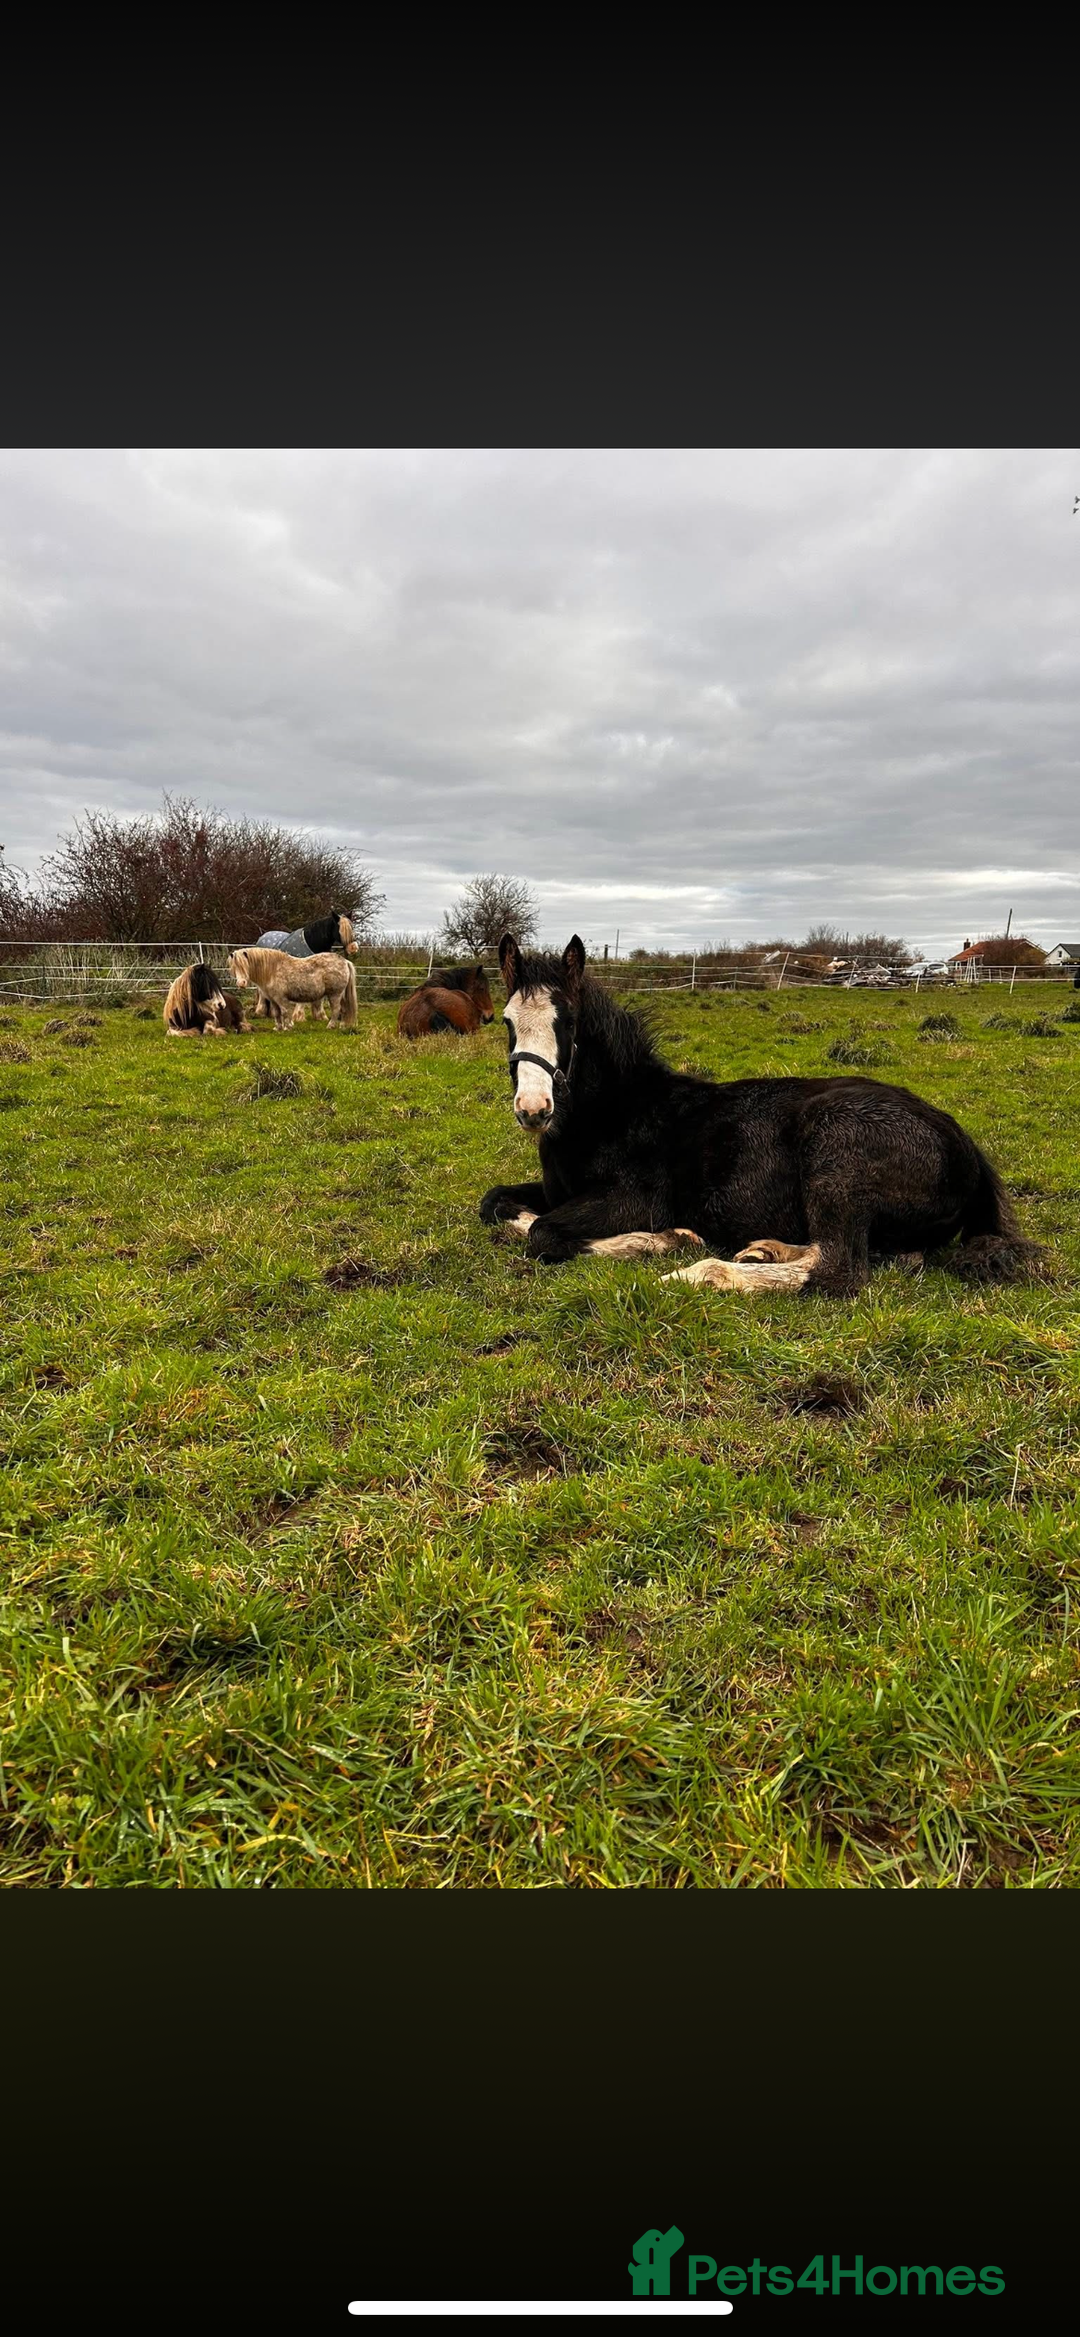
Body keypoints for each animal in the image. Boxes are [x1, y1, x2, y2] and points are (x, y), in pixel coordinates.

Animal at [227, 948, 358, 1029]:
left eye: (245, 965)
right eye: (234, 967)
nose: (241, 983)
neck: (272, 970)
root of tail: (345, 961)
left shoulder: (281, 999)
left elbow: (285, 1012)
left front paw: (288, 1027)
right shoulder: (273, 999)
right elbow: (276, 1013)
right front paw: (278, 1028)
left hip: (335, 994)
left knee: (336, 1010)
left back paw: (330, 1026)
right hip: (340, 995)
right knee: (344, 1009)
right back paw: (342, 1026)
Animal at [478, 934, 1045, 1298]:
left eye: (568, 1022)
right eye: (506, 1021)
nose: (533, 1109)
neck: (615, 1113)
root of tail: (965, 1145)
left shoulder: (633, 1199)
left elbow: (543, 1234)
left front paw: (662, 1240)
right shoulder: (556, 1192)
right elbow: (496, 1205)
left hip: (837, 1155)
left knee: (841, 1269)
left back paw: (706, 1273)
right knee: (884, 1257)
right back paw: (763, 1250)